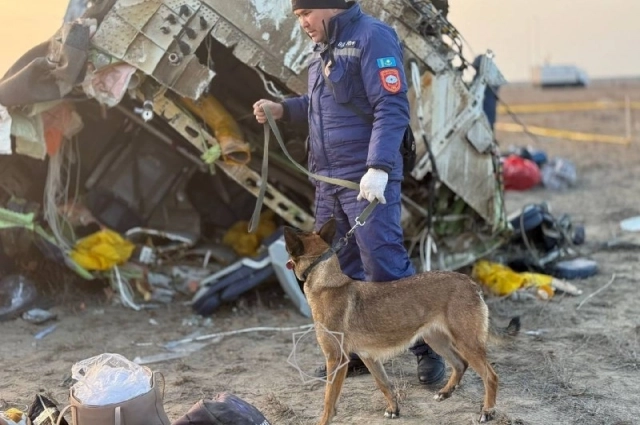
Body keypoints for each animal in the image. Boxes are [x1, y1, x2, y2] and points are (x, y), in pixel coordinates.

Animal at [284, 217, 516, 422]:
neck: (325, 280)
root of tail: (470, 283)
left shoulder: (336, 360)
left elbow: (328, 401)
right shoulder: (369, 357)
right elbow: (384, 385)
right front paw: (394, 409)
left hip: (466, 342)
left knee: (490, 376)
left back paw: (487, 411)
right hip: (437, 340)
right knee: (460, 364)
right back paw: (445, 392)